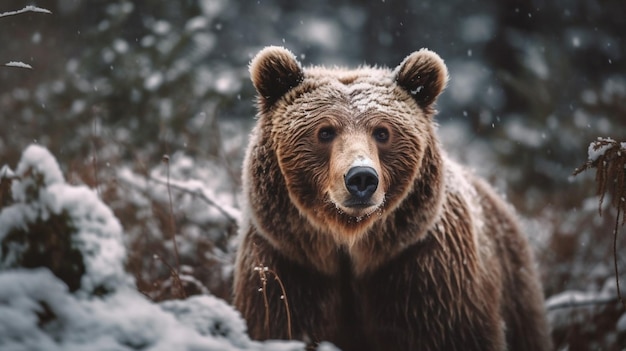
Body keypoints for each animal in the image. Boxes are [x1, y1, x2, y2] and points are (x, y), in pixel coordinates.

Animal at [232, 46, 548, 351]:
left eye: (382, 132)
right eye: (325, 131)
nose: (361, 177)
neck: (351, 246)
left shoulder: (426, 274)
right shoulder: (288, 269)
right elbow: (279, 322)